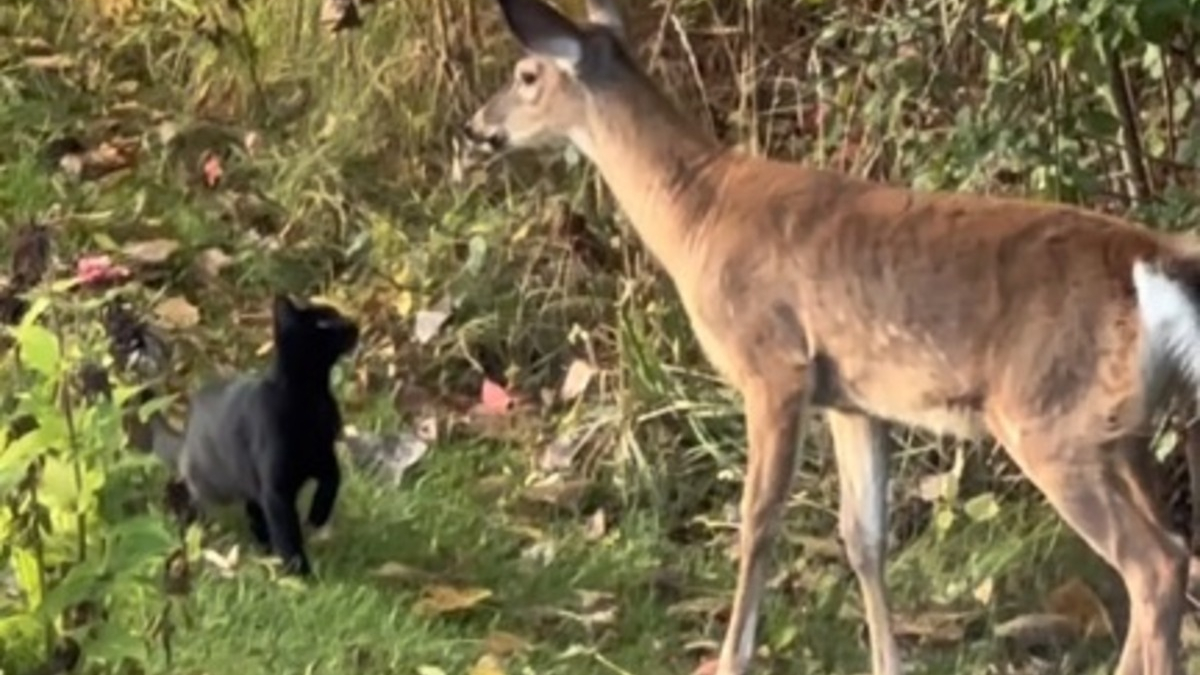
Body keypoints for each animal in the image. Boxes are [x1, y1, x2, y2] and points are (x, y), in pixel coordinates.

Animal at [148, 293, 357, 571]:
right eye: (324, 323)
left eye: (338, 315)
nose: (353, 323)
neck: (312, 396)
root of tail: (188, 429)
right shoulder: (276, 490)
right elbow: (288, 533)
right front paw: (299, 572)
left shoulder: (322, 455)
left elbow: (334, 479)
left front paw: (317, 515)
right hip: (213, 481)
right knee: (182, 485)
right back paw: (182, 518)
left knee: (252, 512)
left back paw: (264, 547)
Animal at [460, 1, 1200, 672]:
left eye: (527, 74)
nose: (477, 126)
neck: (699, 213)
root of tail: (1154, 260)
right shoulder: (853, 397)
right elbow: (864, 537)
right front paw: (887, 663)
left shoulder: (773, 363)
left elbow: (758, 518)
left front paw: (730, 658)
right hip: (1121, 431)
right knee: (1172, 551)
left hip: (1051, 417)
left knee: (1156, 563)